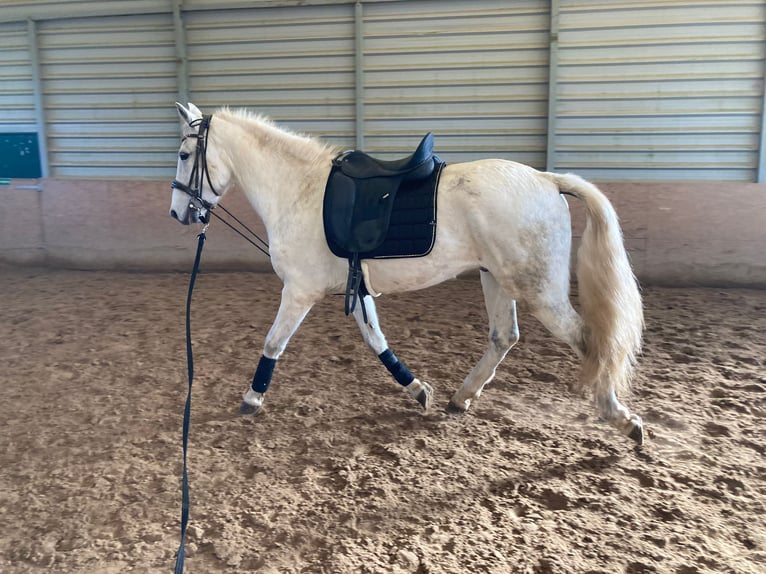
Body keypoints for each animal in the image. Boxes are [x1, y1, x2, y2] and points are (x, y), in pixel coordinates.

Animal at [170, 102, 648, 446]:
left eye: (183, 154)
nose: (179, 213)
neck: (298, 190)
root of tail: (548, 180)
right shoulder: (358, 290)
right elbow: (377, 341)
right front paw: (418, 390)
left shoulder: (299, 291)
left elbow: (273, 343)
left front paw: (252, 398)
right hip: (496, 277)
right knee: (504, 337)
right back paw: (462, 397)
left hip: (537, 288)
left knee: (589, 342)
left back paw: (620, 418)